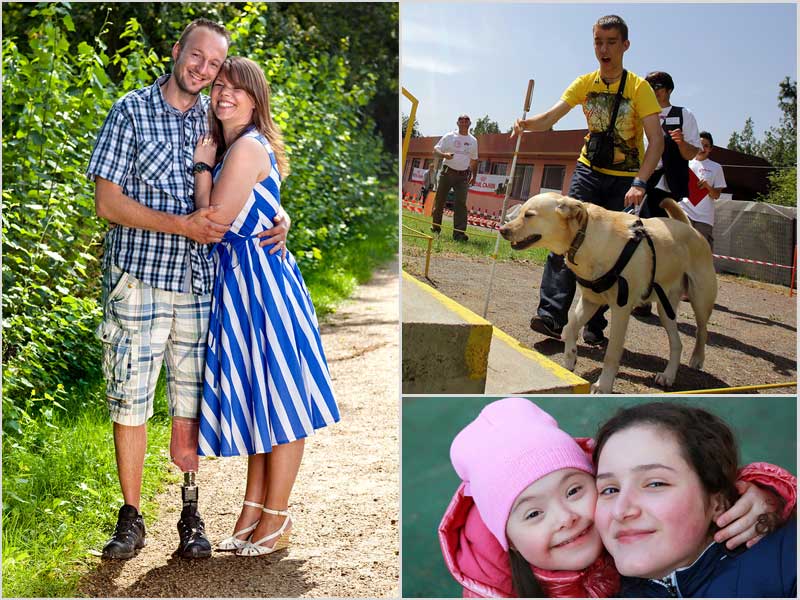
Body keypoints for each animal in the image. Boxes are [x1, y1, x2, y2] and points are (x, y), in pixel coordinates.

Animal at [500, 192, 720, 396]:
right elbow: (569, 327)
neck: (584, 237)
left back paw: (697, 359)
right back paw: (667, 376)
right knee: (677, 343)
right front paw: (570, 358)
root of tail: (690, 228)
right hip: (665, 309)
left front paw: (603, 385)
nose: (502, 230)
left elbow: (612, 354)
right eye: (520, 212)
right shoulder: (590, 300)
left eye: (529, 215)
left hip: (701, 299)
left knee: (702, 331)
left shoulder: (621, 308)